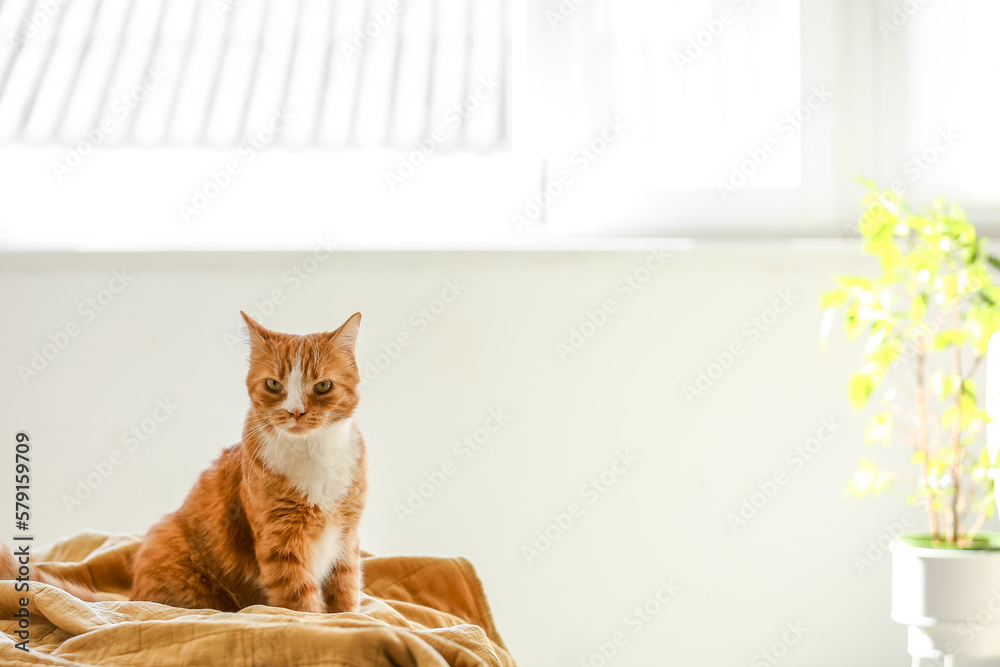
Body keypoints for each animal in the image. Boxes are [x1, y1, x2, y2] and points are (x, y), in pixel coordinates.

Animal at [127, 314, 370, 616]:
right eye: (274, 385)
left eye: (323, 386)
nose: (296, 411)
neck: (313, 452)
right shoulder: (282, 543)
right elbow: (300, 604)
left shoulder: (346, 537)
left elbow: (345, 595)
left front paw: (348, 618)